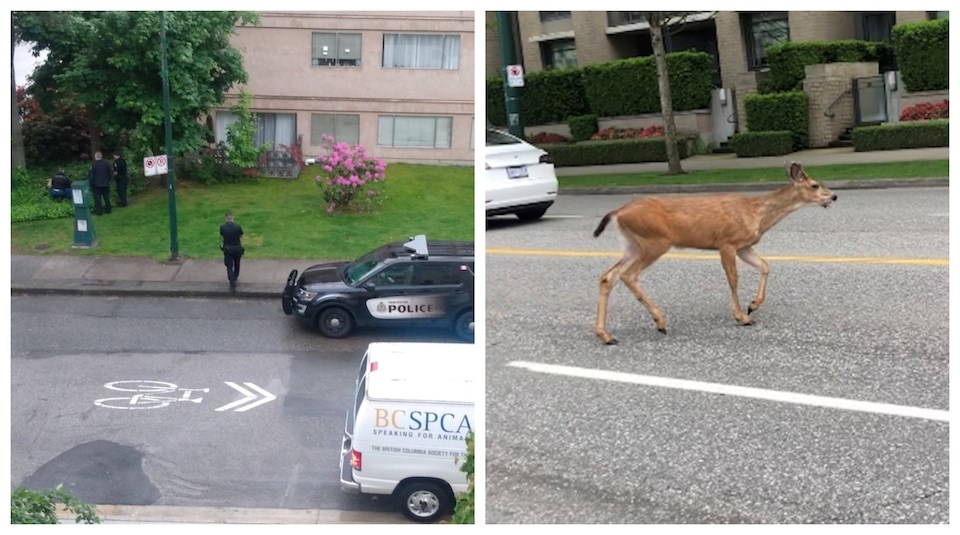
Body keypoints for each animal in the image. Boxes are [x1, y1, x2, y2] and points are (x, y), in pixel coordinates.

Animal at [588, 161, 836, 346]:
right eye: (815, 185)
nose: (833, 196)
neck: (757, 213)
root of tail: (618, 212)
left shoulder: (744, 246)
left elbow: (765, 265)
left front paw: (753, 305)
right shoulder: (727, 242)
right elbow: (733, 279)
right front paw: (742, 316)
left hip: (633, 245)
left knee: (608, 277)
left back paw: (606, 335)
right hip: (654, 242)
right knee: (627, 275)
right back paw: (660, 322)